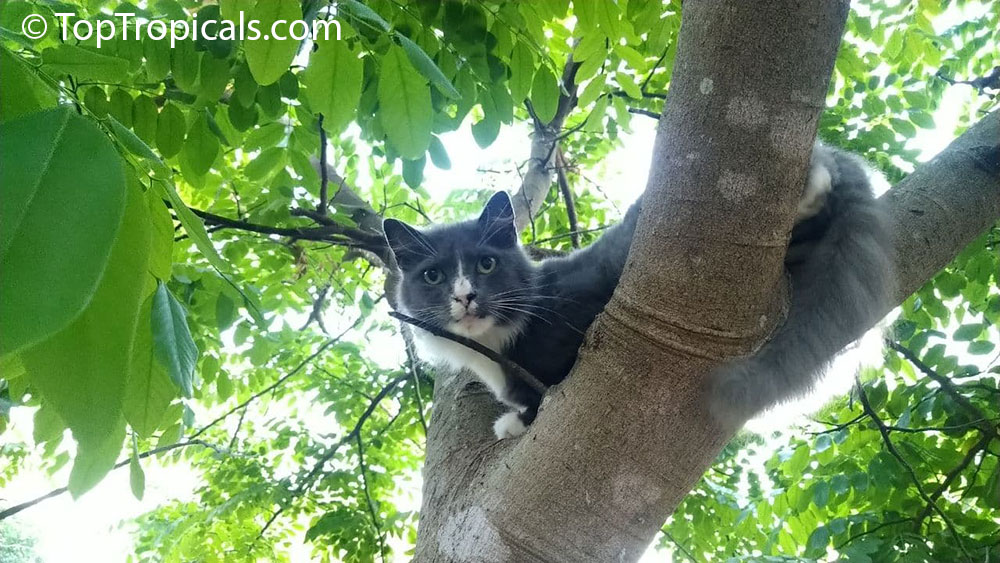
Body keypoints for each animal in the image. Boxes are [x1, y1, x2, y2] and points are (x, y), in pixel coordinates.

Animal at [386, 143, 896, 438]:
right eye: (433, 276)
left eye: (486, 264)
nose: (465, 295)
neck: (492, 347)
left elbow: (543, 394)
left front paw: (513, 422)